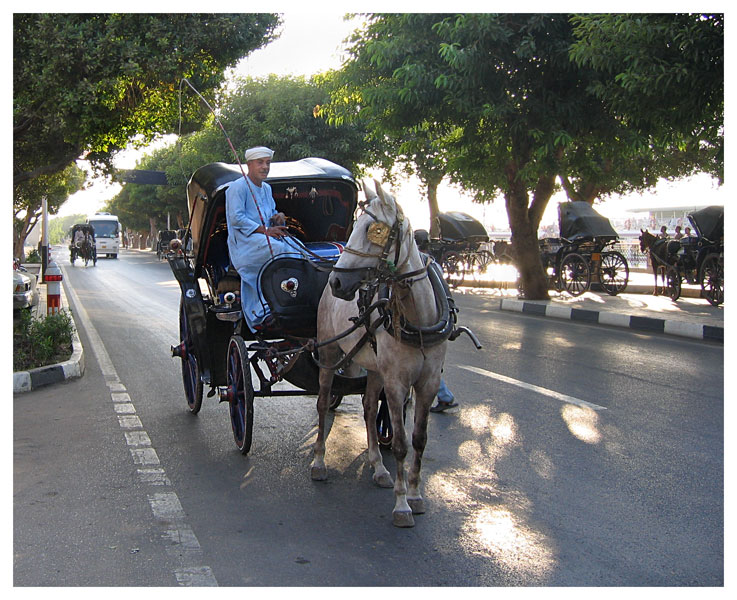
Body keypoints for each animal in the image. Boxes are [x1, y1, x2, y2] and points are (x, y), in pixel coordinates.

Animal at [308, 180, 446, 528]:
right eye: (356, 226)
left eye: (377, 229)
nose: (337, 281)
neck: (419, 319)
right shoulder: (396, 383)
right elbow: (399, 443)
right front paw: (401, 505)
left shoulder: (427, 383)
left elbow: (419, 439)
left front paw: (415, 494)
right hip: (328, 355)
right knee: (322, 403)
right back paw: (319, 462)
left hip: (374, 368)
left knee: (370, 409)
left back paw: (378, 466)